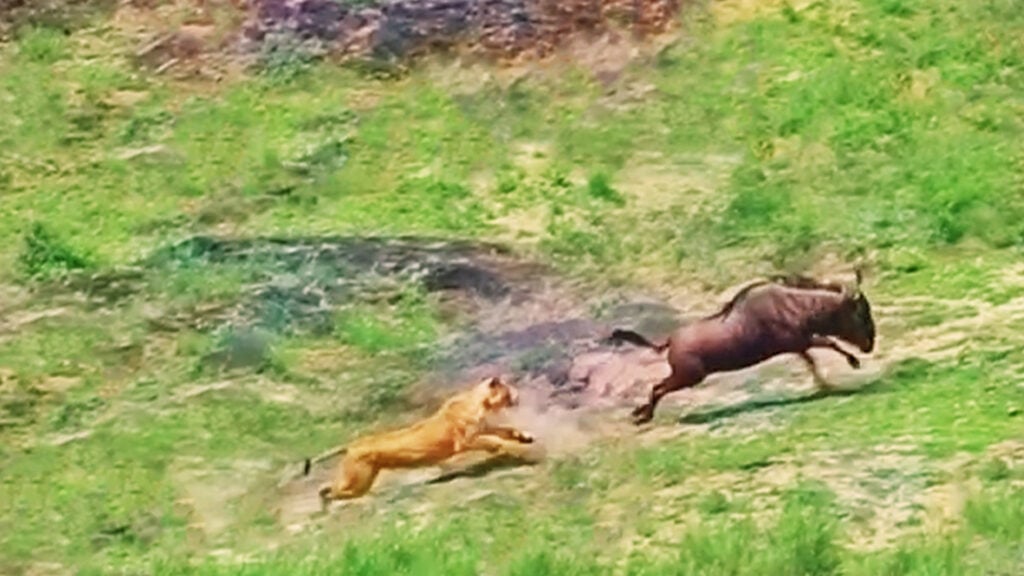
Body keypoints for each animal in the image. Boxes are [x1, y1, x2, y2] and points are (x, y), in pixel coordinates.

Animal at [305, 376, 537, 506]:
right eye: (509, 389)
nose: (518, 395)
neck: (479, 403)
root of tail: (353, 444)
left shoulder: (484, 428)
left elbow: (505, 430)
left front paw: (524, 438)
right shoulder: (466, 441)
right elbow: (493, 440)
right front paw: (505, 449)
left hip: (363, 481)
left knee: (330, 489)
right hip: (357, 481)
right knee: (329, 491)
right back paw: (328, 504)